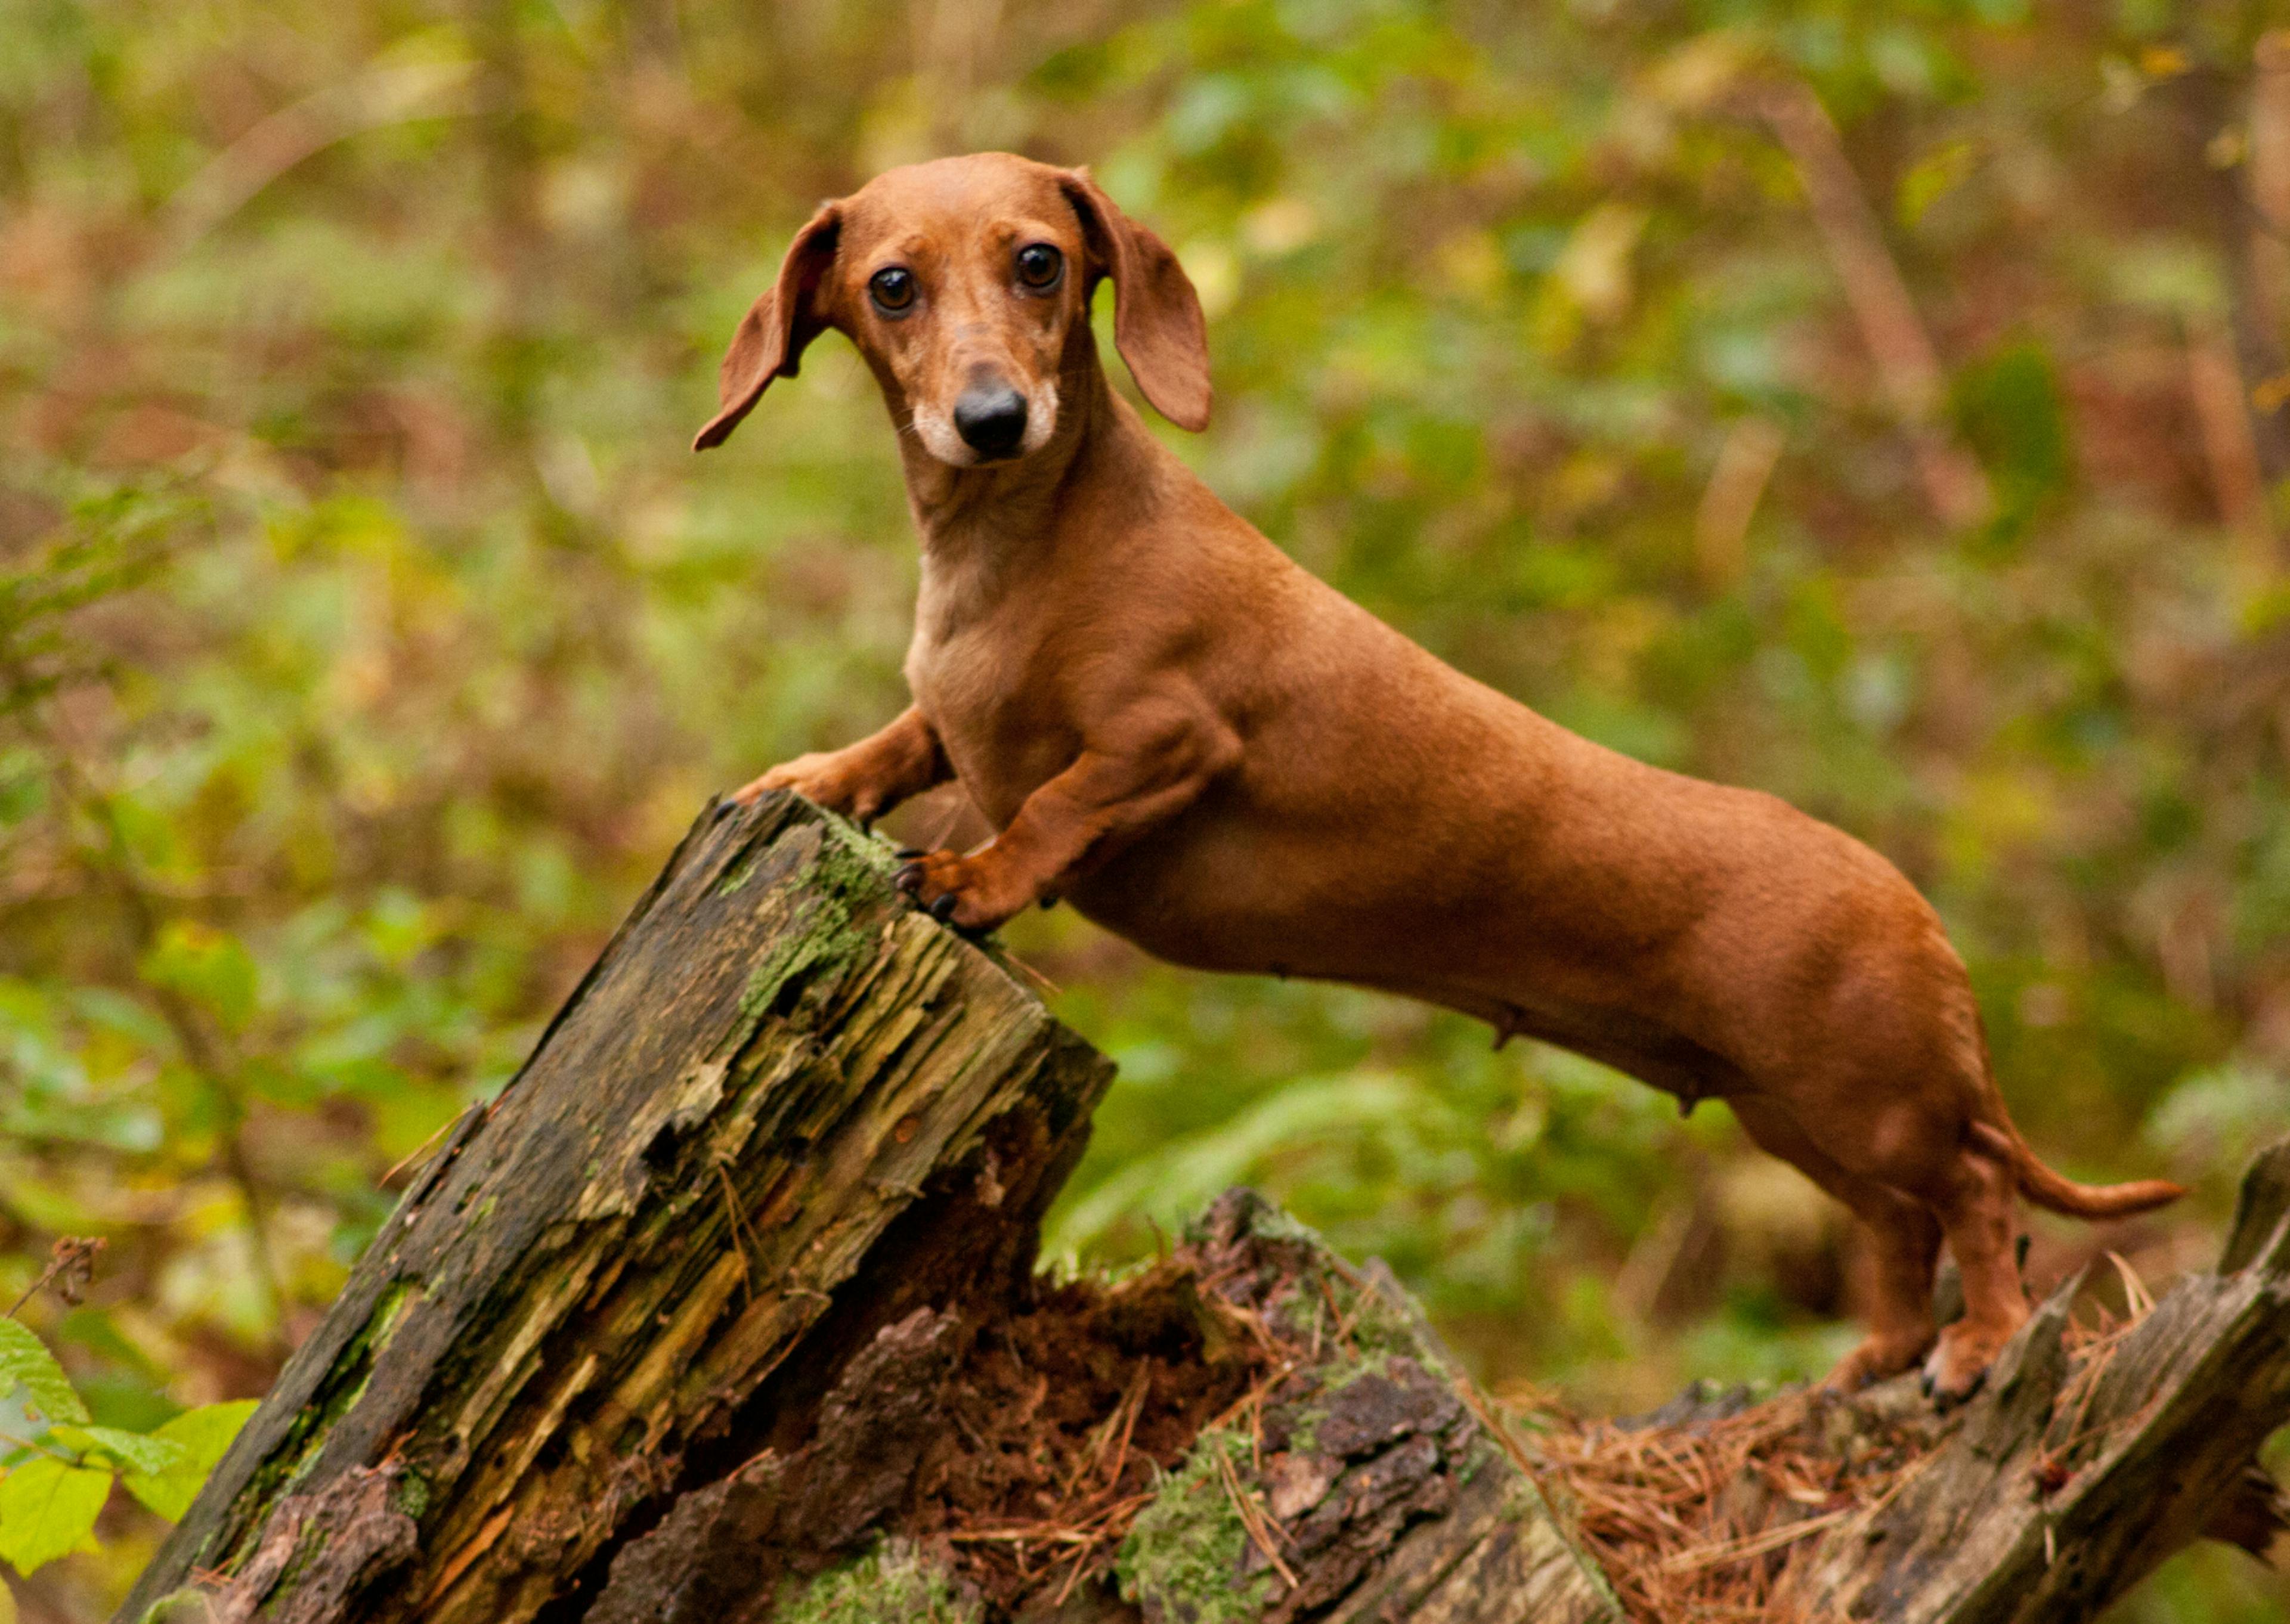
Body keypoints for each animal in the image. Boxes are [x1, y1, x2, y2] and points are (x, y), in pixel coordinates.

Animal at [696, 148, 2180, 1392]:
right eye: (892, 285)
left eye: (1039, 261)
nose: (992, 417)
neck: (1020, 549)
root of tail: (1920, 915)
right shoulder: (953, 718)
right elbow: (904, 742)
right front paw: (806, 783)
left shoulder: (1169, 740)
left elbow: (1052, 807)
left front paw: (979, 878)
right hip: (1795, 1120)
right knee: (1901, 1228)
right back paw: (1879, 1352)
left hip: (1870, 1106)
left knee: (1977, 1197)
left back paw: (1978, 1346)